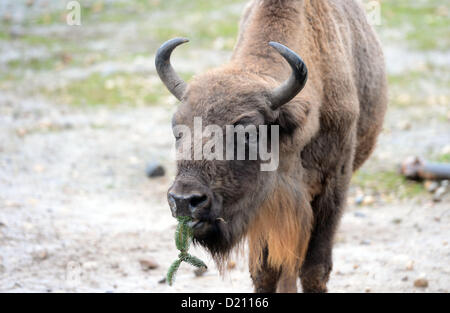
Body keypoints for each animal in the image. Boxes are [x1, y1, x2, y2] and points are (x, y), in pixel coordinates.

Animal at [156, 0, 386, 292]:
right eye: (177, 129)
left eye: (248, 130)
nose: (185, 200)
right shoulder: (264, 209)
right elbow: (265, 270)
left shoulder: (332, 187)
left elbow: (314, 269)